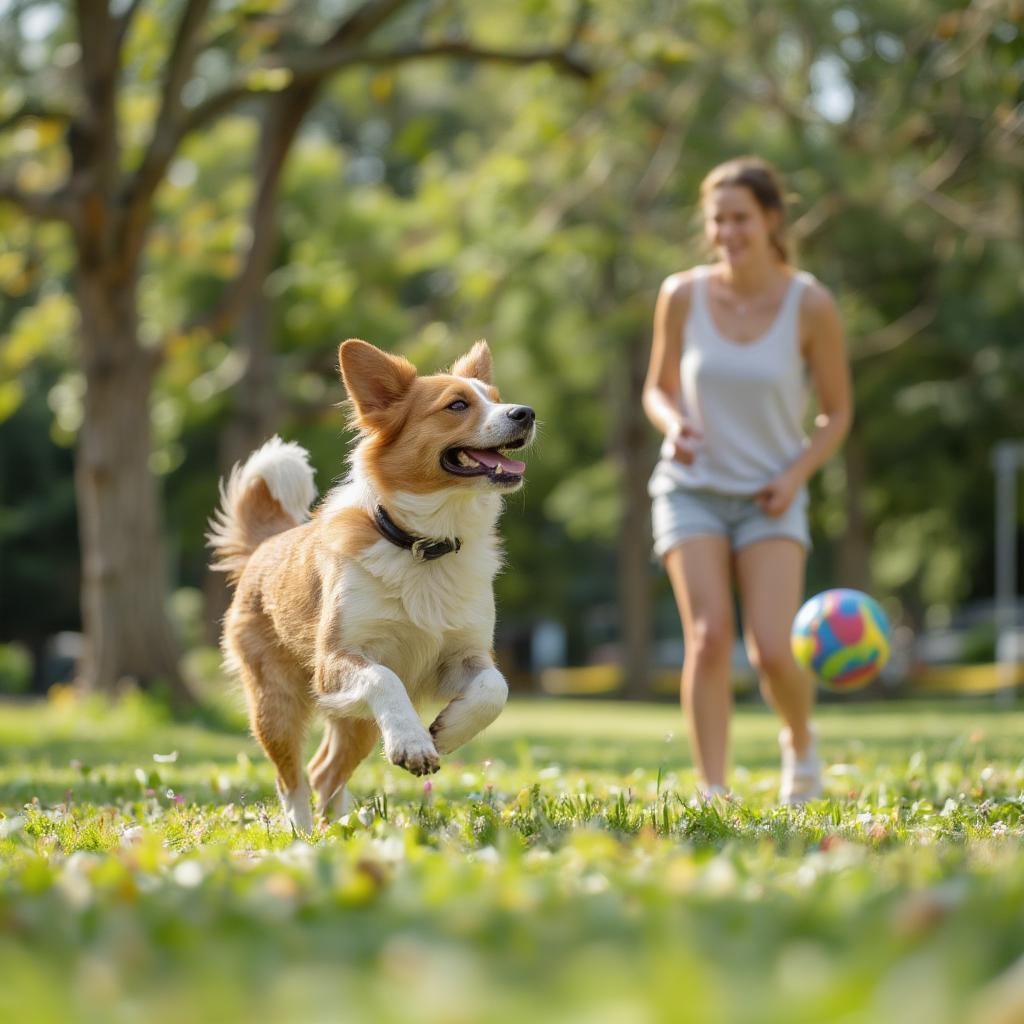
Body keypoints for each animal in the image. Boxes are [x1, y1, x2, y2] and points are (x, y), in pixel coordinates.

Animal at [207, 337, 536, 831]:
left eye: (496, 398)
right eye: (457, 405)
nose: (526, 412)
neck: (424, 545)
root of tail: (267, 545)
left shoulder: (462, 655)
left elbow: (495, 689)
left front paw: (447, 732)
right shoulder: (337, 659)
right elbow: (384, 678)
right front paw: (413, 742)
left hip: (355, 721)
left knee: (324, 771)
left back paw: (343, 825)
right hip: (277, 704)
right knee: (293, 779)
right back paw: (303, 834)